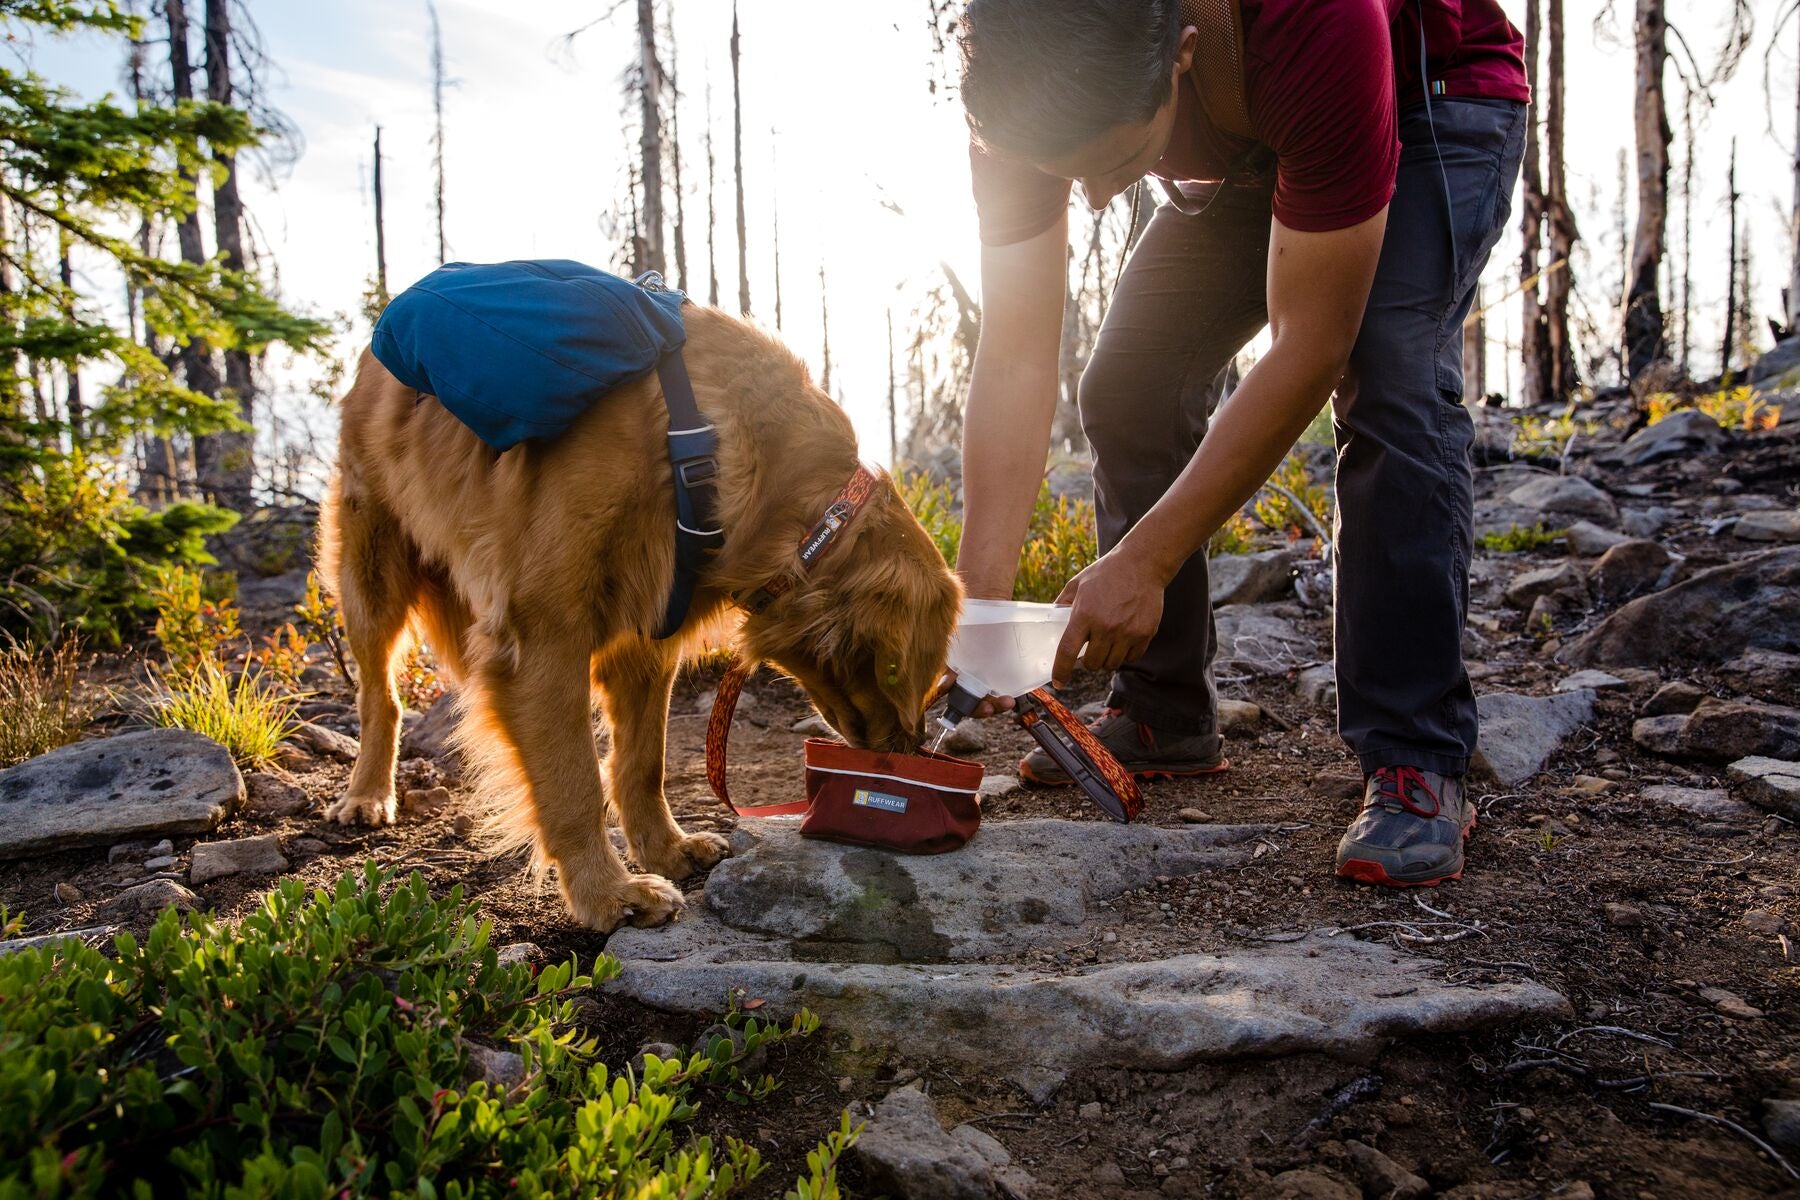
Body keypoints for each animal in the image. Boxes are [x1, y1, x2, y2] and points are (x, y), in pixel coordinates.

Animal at [316, 300, 964, 928]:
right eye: (915, 675)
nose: (914, 747)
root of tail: (375, 347)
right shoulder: (542, 635)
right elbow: (574, 781)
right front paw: (609, 893)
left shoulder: (646, 637)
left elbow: (643, 762)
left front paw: (665, 850)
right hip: (371, 574)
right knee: (380, 694)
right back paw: (368, 794)